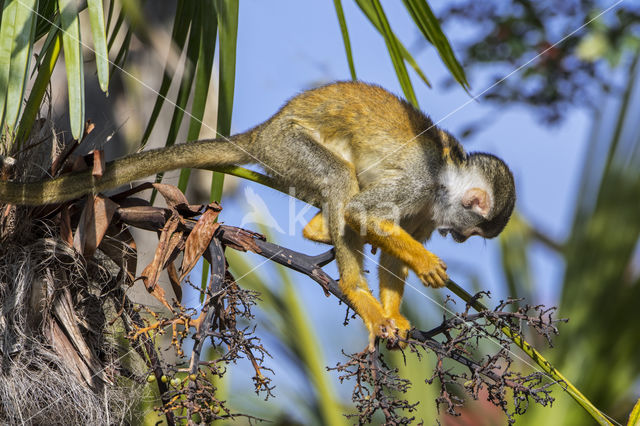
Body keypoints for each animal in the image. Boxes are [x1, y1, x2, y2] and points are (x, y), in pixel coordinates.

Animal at [0, 81, 516, 348]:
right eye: (472, 234)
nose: (460, 241)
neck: (446, 181)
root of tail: (263, 130)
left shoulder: (427, 212)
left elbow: (392, 242)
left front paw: (397, 316)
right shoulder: (422, 182)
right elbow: (360, 207)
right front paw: (425, 268)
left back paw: (320, 233)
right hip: (287, 147)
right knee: (339, 184)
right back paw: (356, 291)